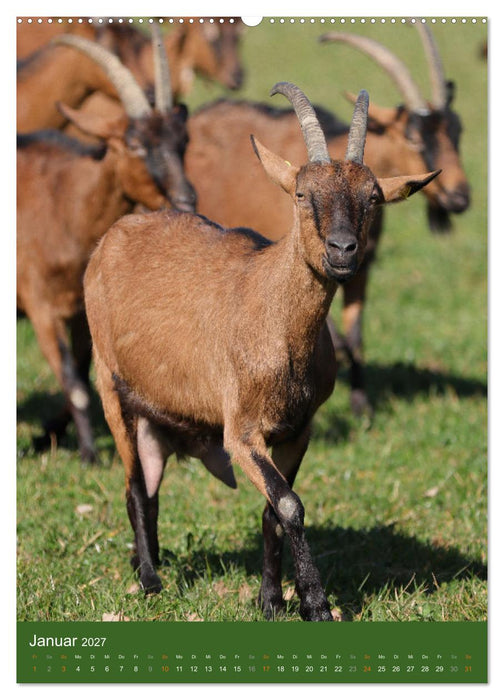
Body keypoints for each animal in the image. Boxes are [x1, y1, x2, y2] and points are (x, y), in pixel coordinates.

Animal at [17, 33, 196, 463]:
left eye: (183, 141)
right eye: (134, 143)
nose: (186, 199)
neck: (62, 205)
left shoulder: (82, 313)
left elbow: (84, 377)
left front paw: (49, 437)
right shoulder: (40, 307)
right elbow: (74, 383)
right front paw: (87, 455)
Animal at [83, 82, 438, 620]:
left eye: (373, 197)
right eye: (301, 193)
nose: (343, 250)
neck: (274, 317)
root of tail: (112, 237)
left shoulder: (297, 429)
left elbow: (275, 510)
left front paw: (271, 600)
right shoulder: (242, 432)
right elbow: (291, 505)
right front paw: (316, 604)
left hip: (154, 414)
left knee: (150, 481)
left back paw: (148, 563)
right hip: (110, 386)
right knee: (134, 487)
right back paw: (149, 580)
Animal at [184, 24, 470, 416]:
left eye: (457, 131)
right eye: (413, 137)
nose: (460, 197)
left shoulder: (362, 268)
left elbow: (356, 336)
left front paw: (362, 406)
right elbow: (338, 339)